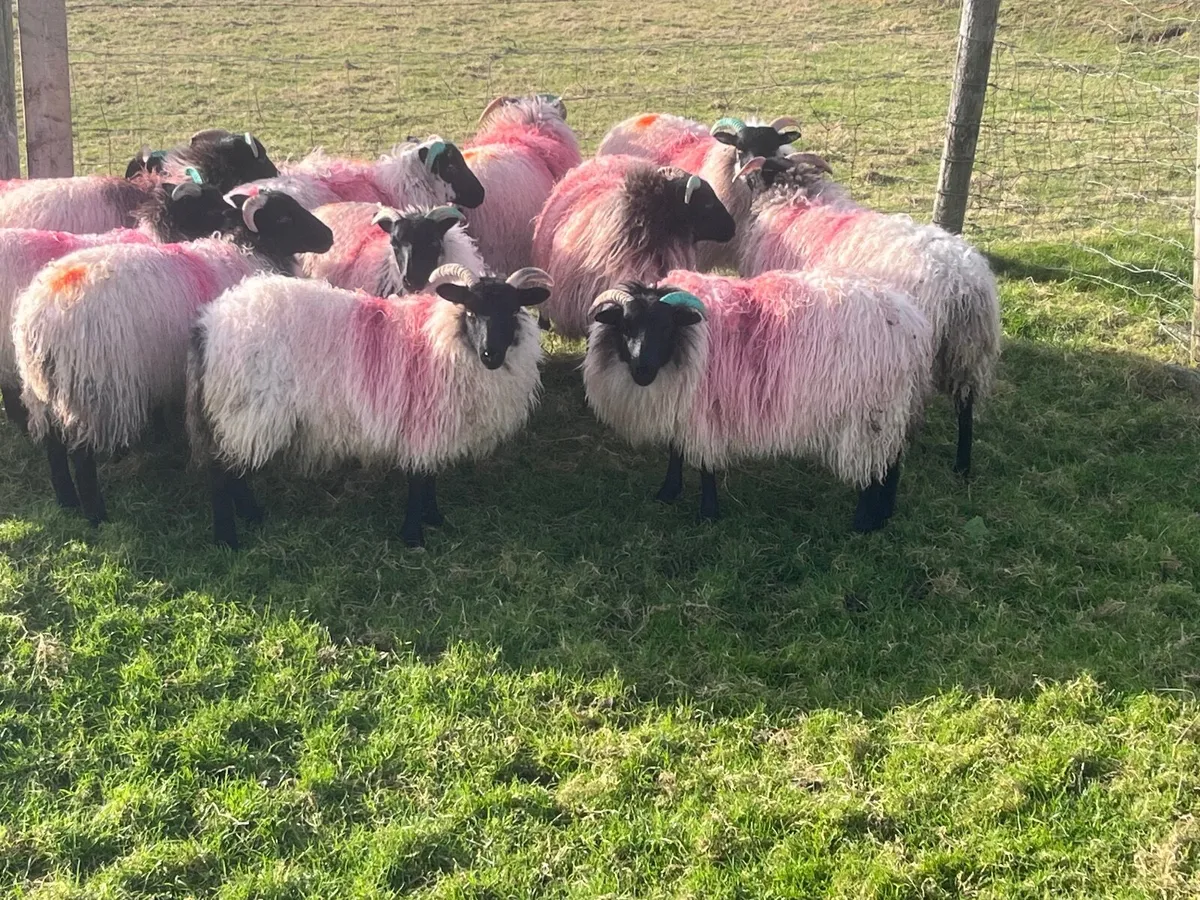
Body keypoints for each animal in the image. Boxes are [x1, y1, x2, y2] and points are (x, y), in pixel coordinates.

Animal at [185, 264, 552, 549]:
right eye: (472, 312)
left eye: (513, 312)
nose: (491, 354)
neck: (444, 337)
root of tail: (209, 323)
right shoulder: (421, 423)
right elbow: (419, 480)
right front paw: (413, 536)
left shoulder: (431, 426)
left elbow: (430, 477)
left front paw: (434, 518)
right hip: (244, 409)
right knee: (222, 473)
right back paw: (228, 539)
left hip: (237, 414)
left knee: (235, 472)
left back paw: (253, 516)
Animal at [582, 270, 933, 532]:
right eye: (625, 326)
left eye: (667, 327)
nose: (642, 370)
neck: (691, 343)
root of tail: (911, 319)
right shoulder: (683, 406)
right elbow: (675, 450)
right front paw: (668, 492)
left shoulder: (704, 411)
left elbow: (704, 464)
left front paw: (708, 513)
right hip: (888, 410)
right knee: (892, 461)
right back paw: (884, 515)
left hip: (870, 412)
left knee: (875, 465)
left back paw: (863, 522)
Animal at [736, 153, 1001, 475]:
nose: (741, 177)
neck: (795, 203)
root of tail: (962, 281)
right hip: (970, 352)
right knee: (965, 405)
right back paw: (962, 467)